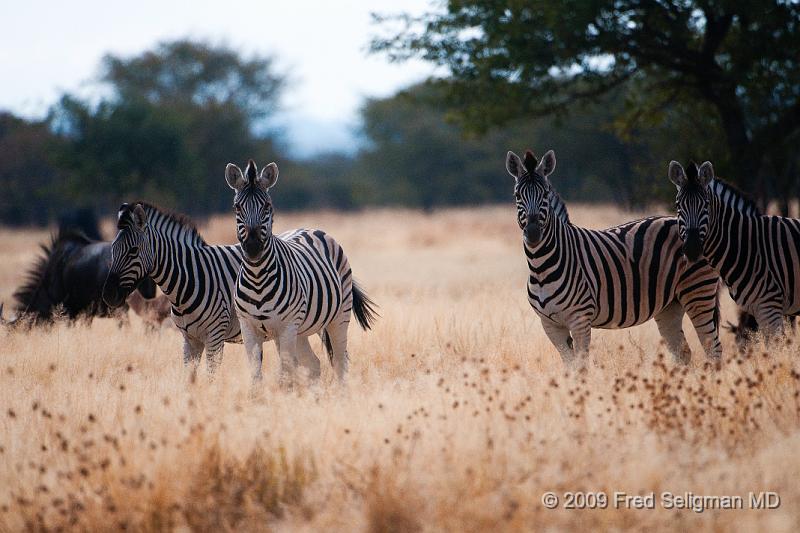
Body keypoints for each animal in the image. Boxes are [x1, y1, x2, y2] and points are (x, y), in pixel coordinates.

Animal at [101, 202, 242, 372]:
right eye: (112, 248)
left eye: (133, 250)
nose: (108, 294)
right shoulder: (190, 338)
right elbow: (189, 375)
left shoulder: (215, 336)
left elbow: (211, 375)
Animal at [223, 158, 376, 382]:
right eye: (237, 207)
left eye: (267, 206)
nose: (252, 248)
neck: (257, 277)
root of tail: (310, 228)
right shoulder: (249, 328)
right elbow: (256, 375)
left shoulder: (286, 327)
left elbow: (286, 373)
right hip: (301, 330)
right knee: (314, 364)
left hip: (338, 317)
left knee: (340, 362)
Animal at [506, 148, 724, 364]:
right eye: (517, 195)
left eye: (545, 194)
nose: (533, 233)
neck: (541, 266)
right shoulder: (551, 325)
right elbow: (569, 365)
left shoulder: (580, 319)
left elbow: (581, 365)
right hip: (670, 305)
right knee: (683, 352)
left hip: (698, 292)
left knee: (713, 349)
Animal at [668, 160, 800, 338]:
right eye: (678, 205)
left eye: (706, 205)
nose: (692, 249)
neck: (747, 244)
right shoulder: (762, 308)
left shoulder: (770, 305)